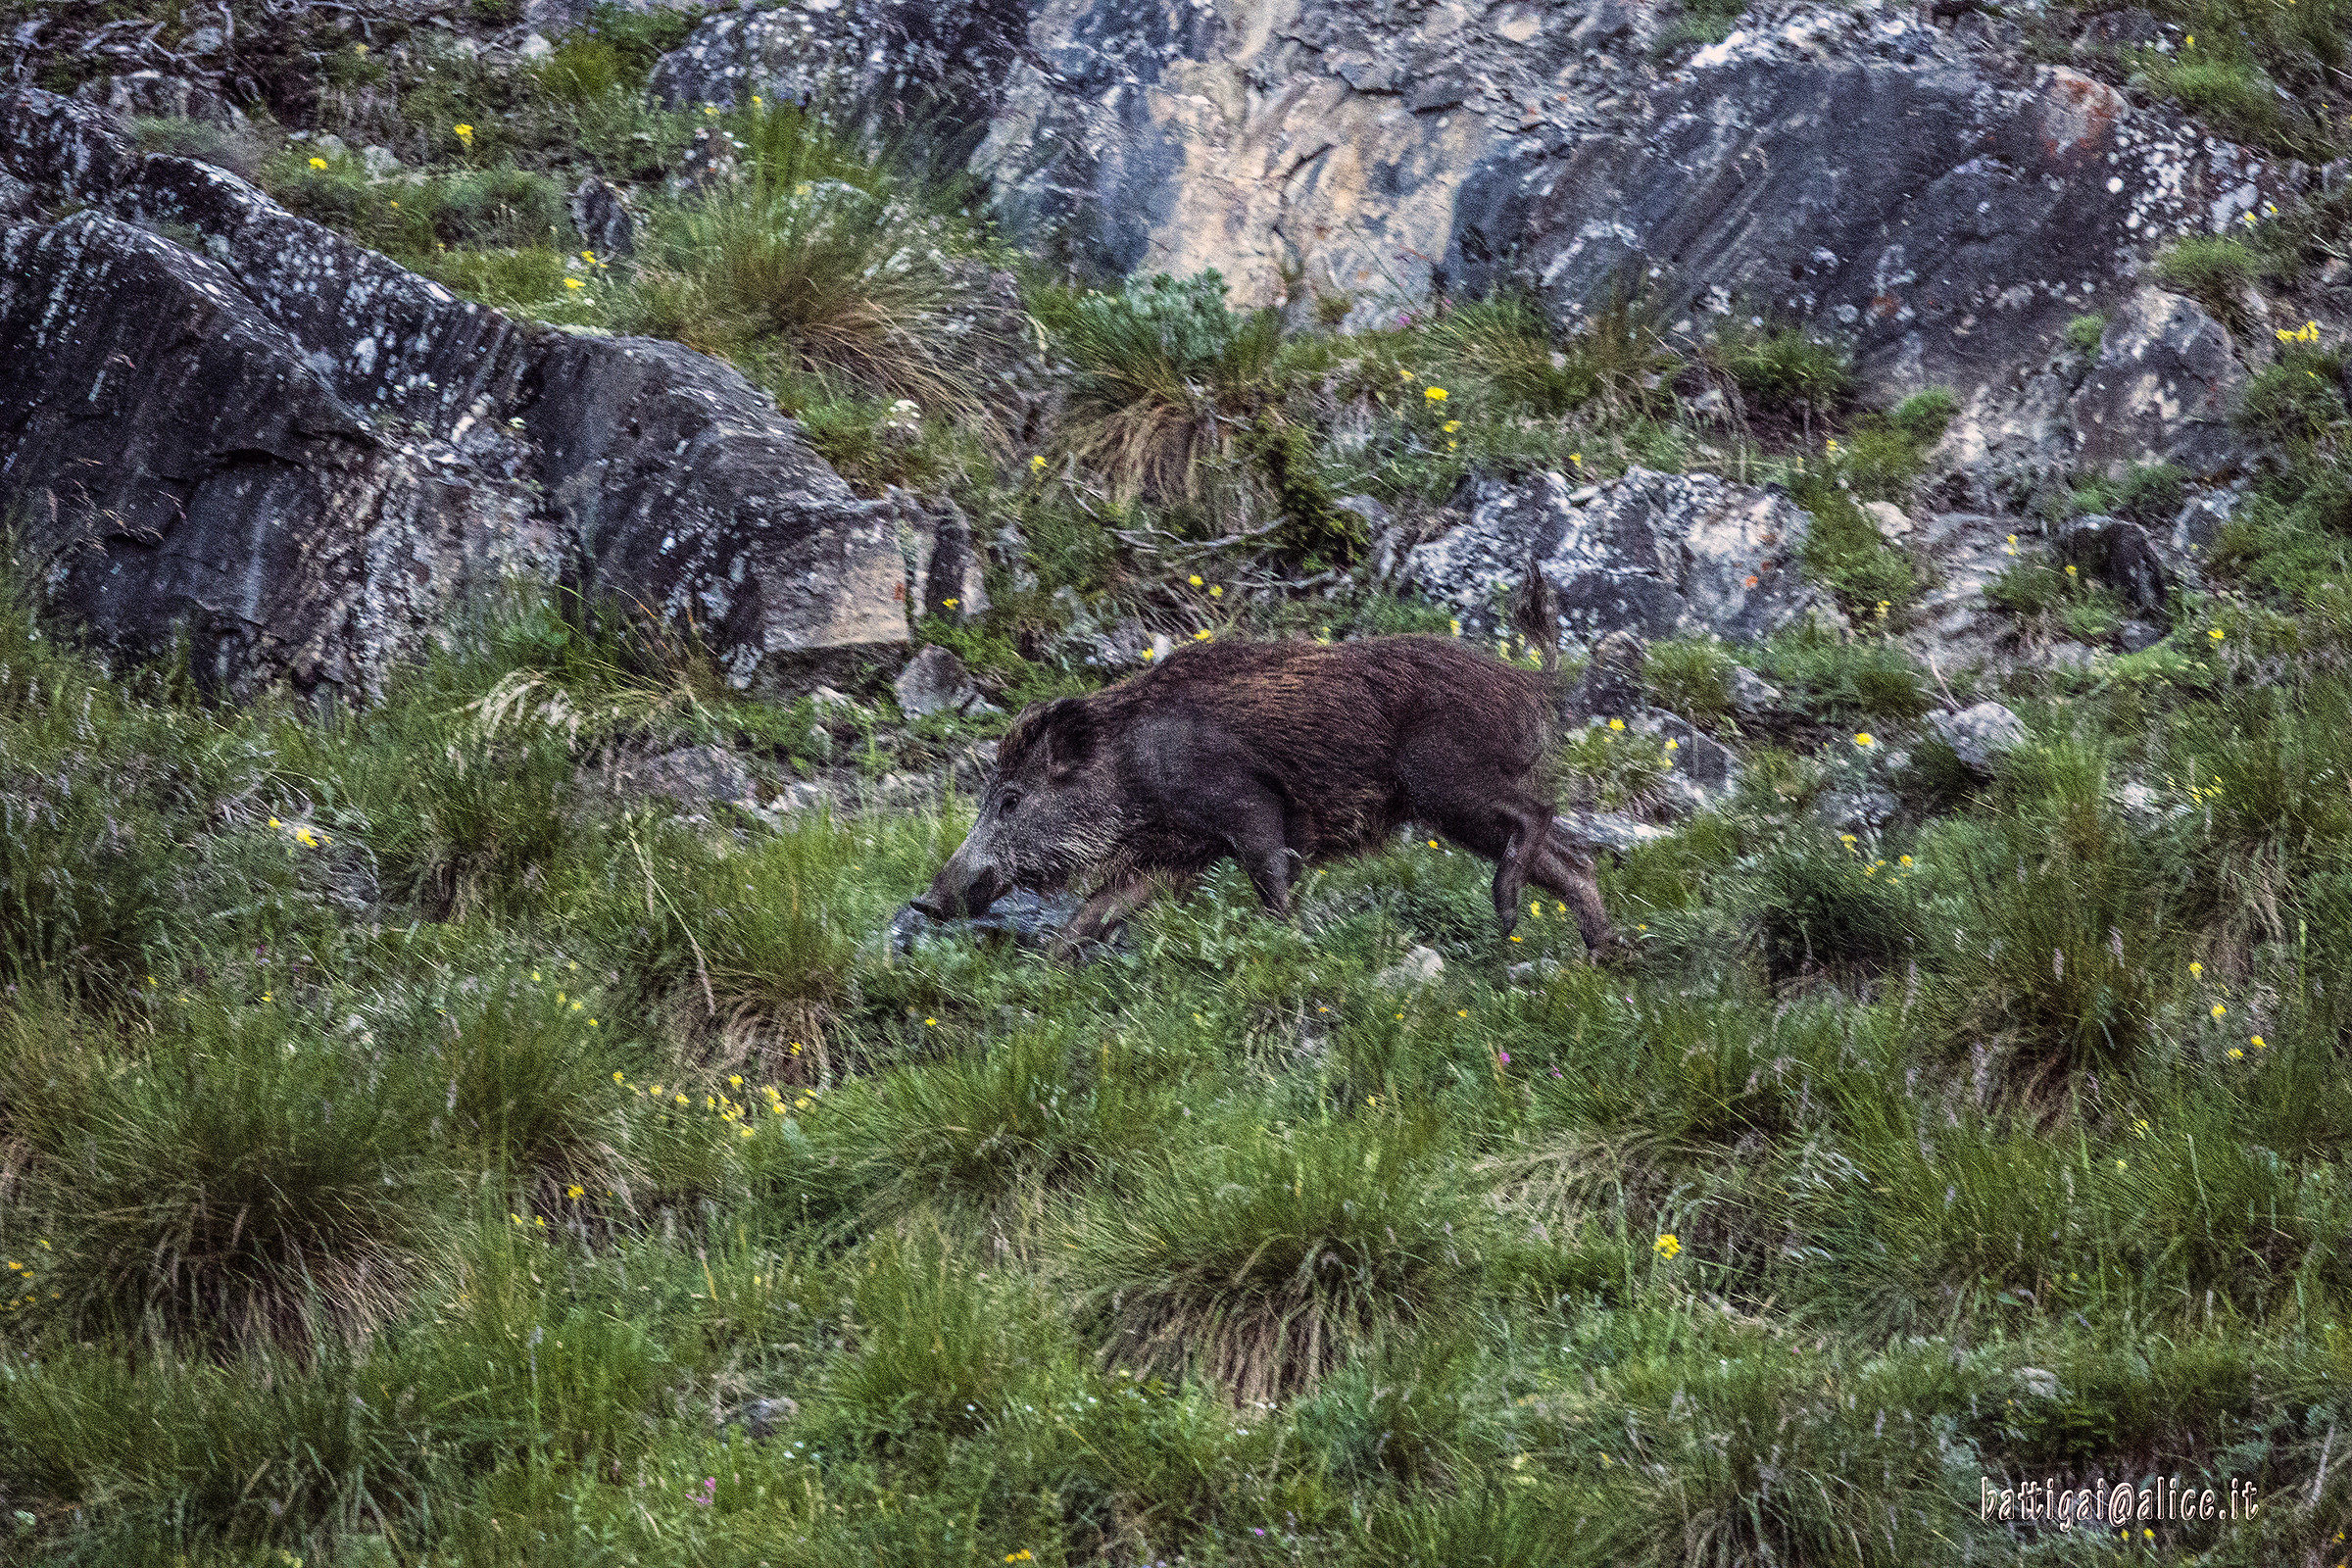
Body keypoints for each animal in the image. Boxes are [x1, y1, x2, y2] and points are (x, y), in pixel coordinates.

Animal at [911, 635, 1613, 954]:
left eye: (1010, 799)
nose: (925, 900)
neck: (1132, 772)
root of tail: (1531, 685)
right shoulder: (1171, 854)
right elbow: (1093, 912)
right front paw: (1045, 974)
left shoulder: (1248, 809)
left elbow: (1273, 885)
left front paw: (1293, 946)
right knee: (1573, 860)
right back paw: (1602, 954)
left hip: (1448, 786)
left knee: (1537, 818)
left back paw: (1509, 913)